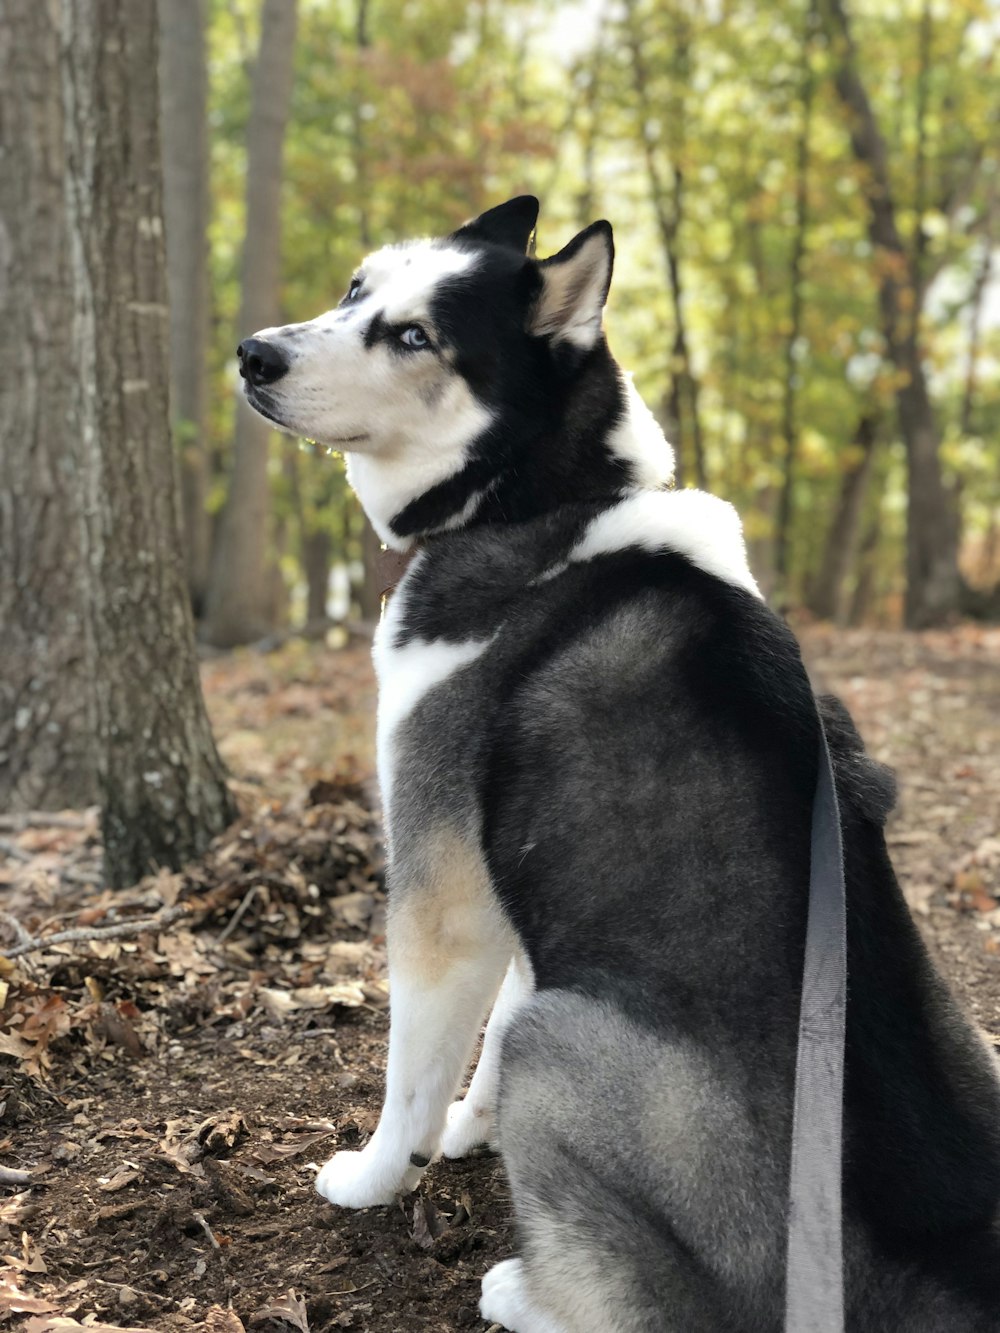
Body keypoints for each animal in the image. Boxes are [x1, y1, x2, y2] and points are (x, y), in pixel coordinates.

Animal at [238, 197, 1000, 1333]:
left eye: (415, 335)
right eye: (353, 288)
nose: (253, 355)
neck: (538, 502)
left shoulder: (441, 889)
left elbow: (411, 1075)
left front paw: (377, 1177)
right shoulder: (520, 882)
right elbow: (488, 1032)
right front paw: (473, 1126)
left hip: (564, 1045)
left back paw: (525, 1289)